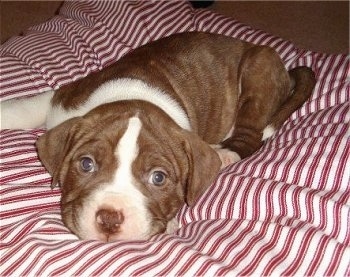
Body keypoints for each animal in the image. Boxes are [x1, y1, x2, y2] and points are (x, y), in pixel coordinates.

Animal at [0, 32, 316, 240]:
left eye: (158, 178)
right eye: (86, 164)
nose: (110, 218)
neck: (133, 97)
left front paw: (173, 222)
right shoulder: (63, 99)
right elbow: (25, 108)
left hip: (257, 69)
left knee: (250, 136)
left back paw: (225, 154)